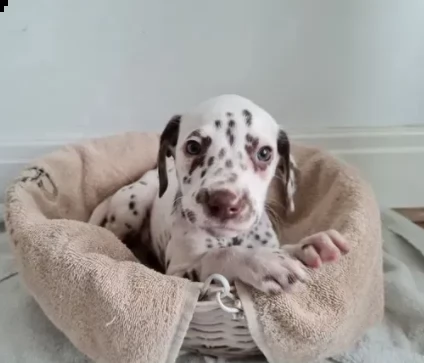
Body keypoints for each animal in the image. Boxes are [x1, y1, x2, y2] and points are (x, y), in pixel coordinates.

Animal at [88, 94, 348, 296]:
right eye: (193, 146)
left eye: (264, 153)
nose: (224, 202)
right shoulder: (181, 273)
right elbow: (219, 255)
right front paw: (264, 263)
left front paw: (311, 246)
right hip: (132, 204)